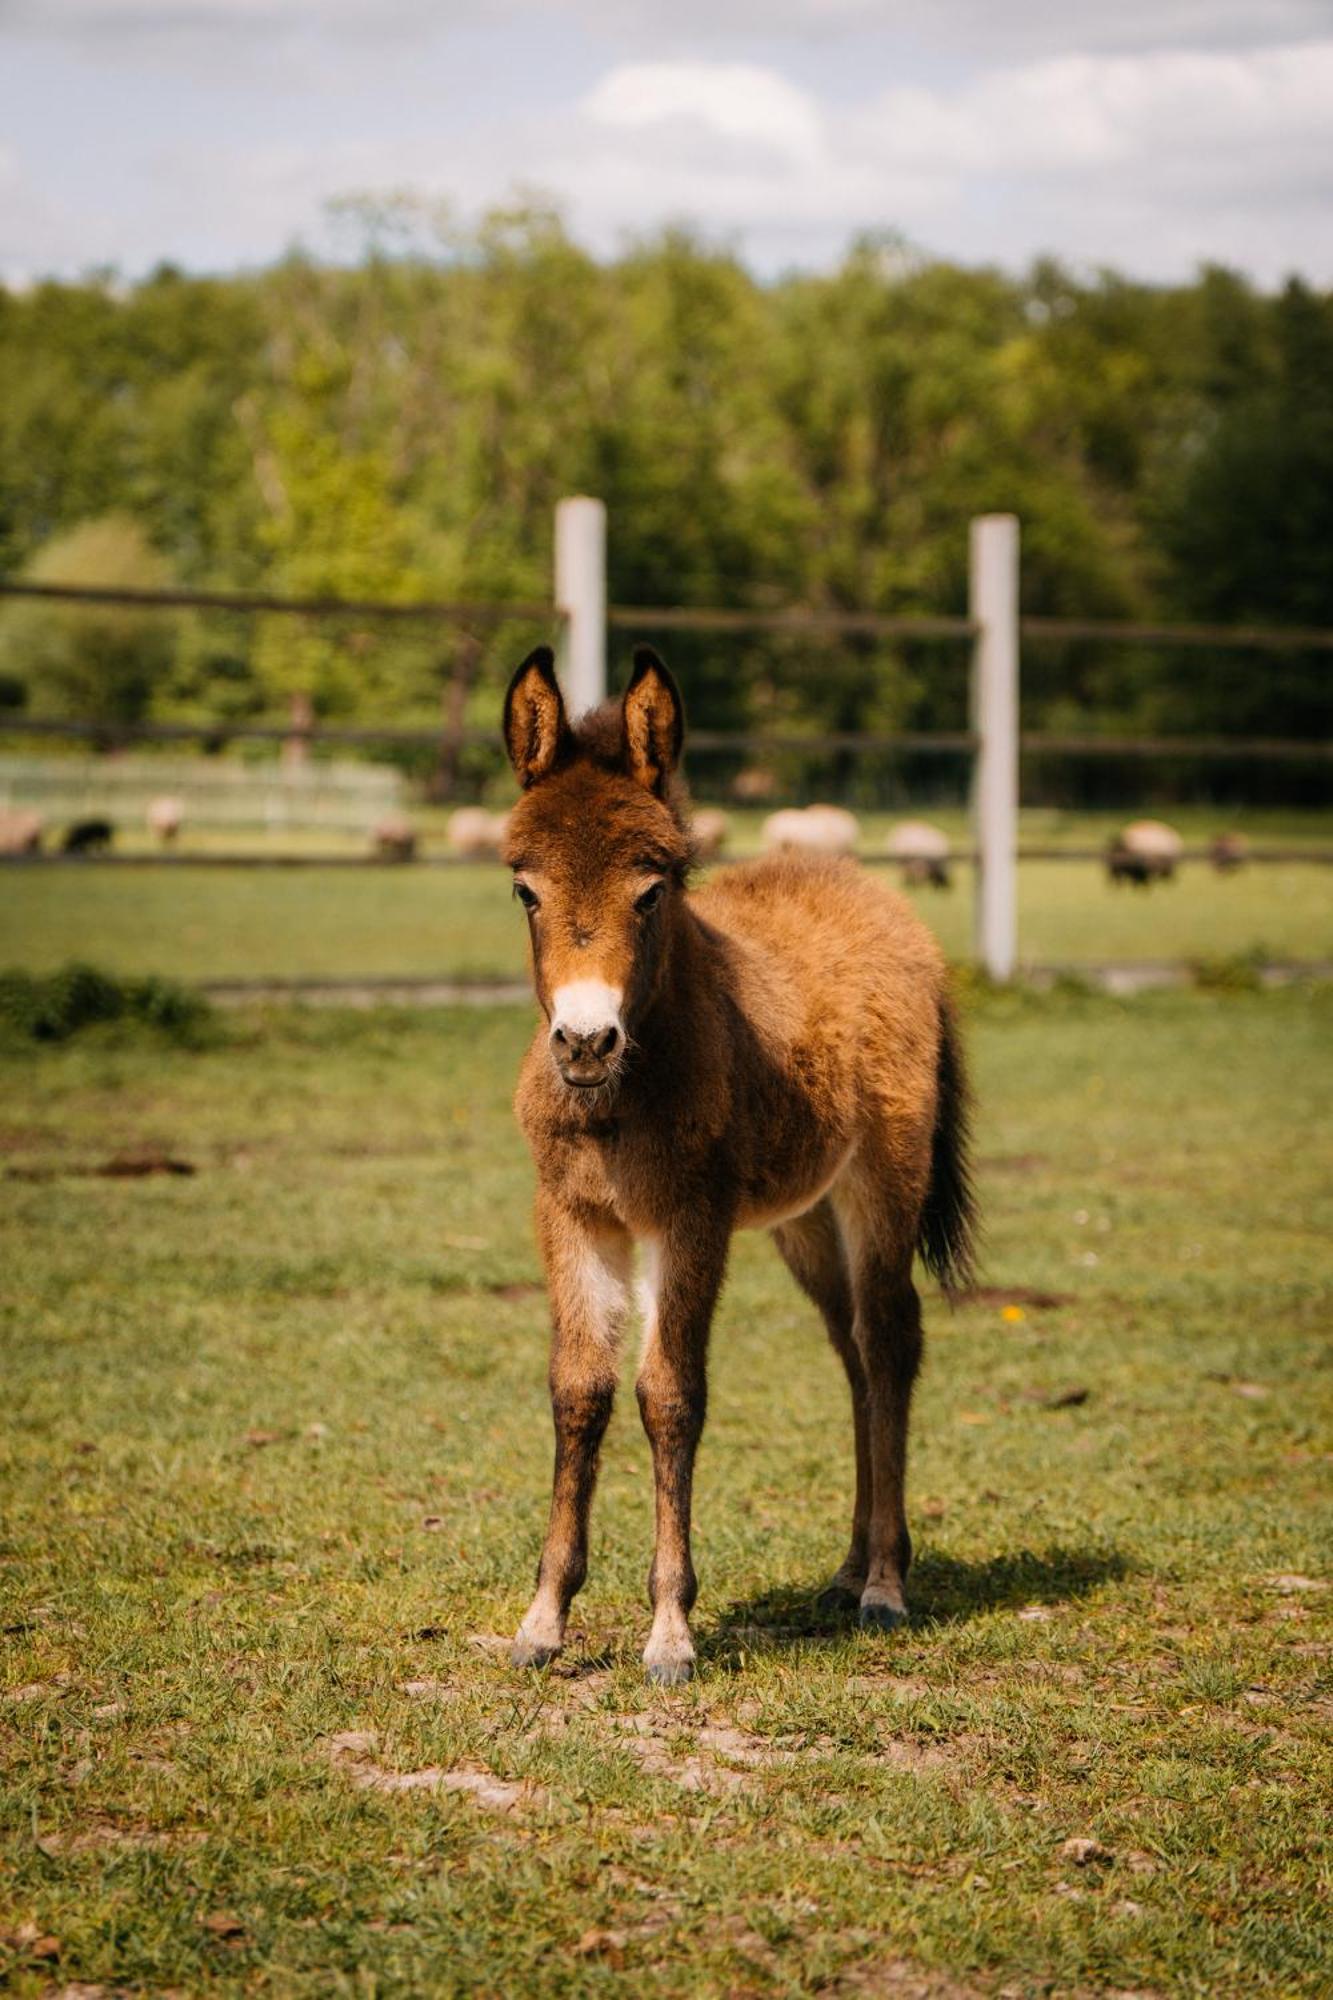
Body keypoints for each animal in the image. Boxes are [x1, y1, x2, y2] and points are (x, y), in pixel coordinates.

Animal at [496, 648, 964, 1680]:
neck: (625, 1092)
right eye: (524, 890)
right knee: (851, 1354)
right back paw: (846, 1570)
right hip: (804, 1219)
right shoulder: (571, 1216)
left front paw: (670, 1632)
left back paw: (883, 1585)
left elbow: (669, 1395)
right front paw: (543, 1620)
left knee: (889, 1342)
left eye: (652, 890)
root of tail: (876, 898)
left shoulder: (689, 1220)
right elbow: (578, 1391)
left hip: (879, 1187)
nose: (583, 1042)